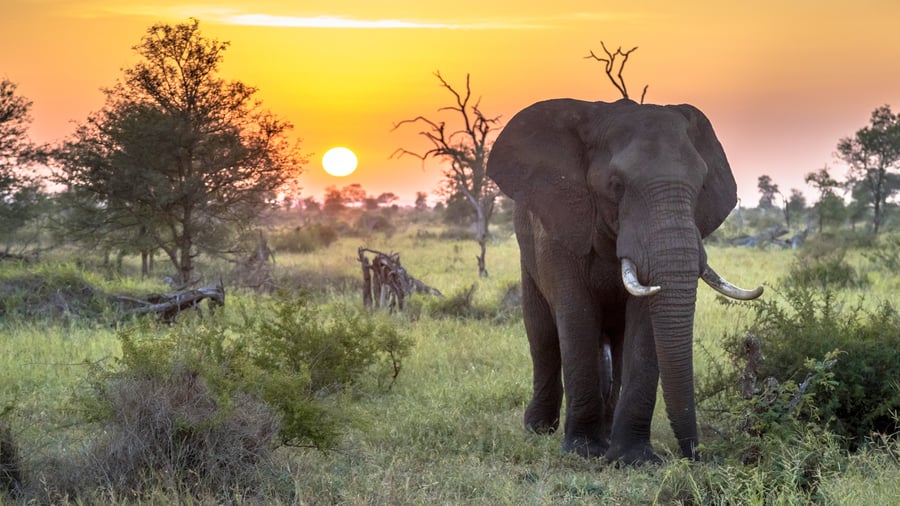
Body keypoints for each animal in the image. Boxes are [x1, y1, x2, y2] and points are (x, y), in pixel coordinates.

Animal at [486, 98, 763, 464]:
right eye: (616, 186)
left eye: (702, 184)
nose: (697, 455)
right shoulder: (560, 227)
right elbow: (576, 315)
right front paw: (584, 451)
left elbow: (644, 325)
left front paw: (633, 459)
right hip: (527, 254)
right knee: (542, 335)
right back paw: (540, 428)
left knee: (614, 346)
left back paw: (606, 433)